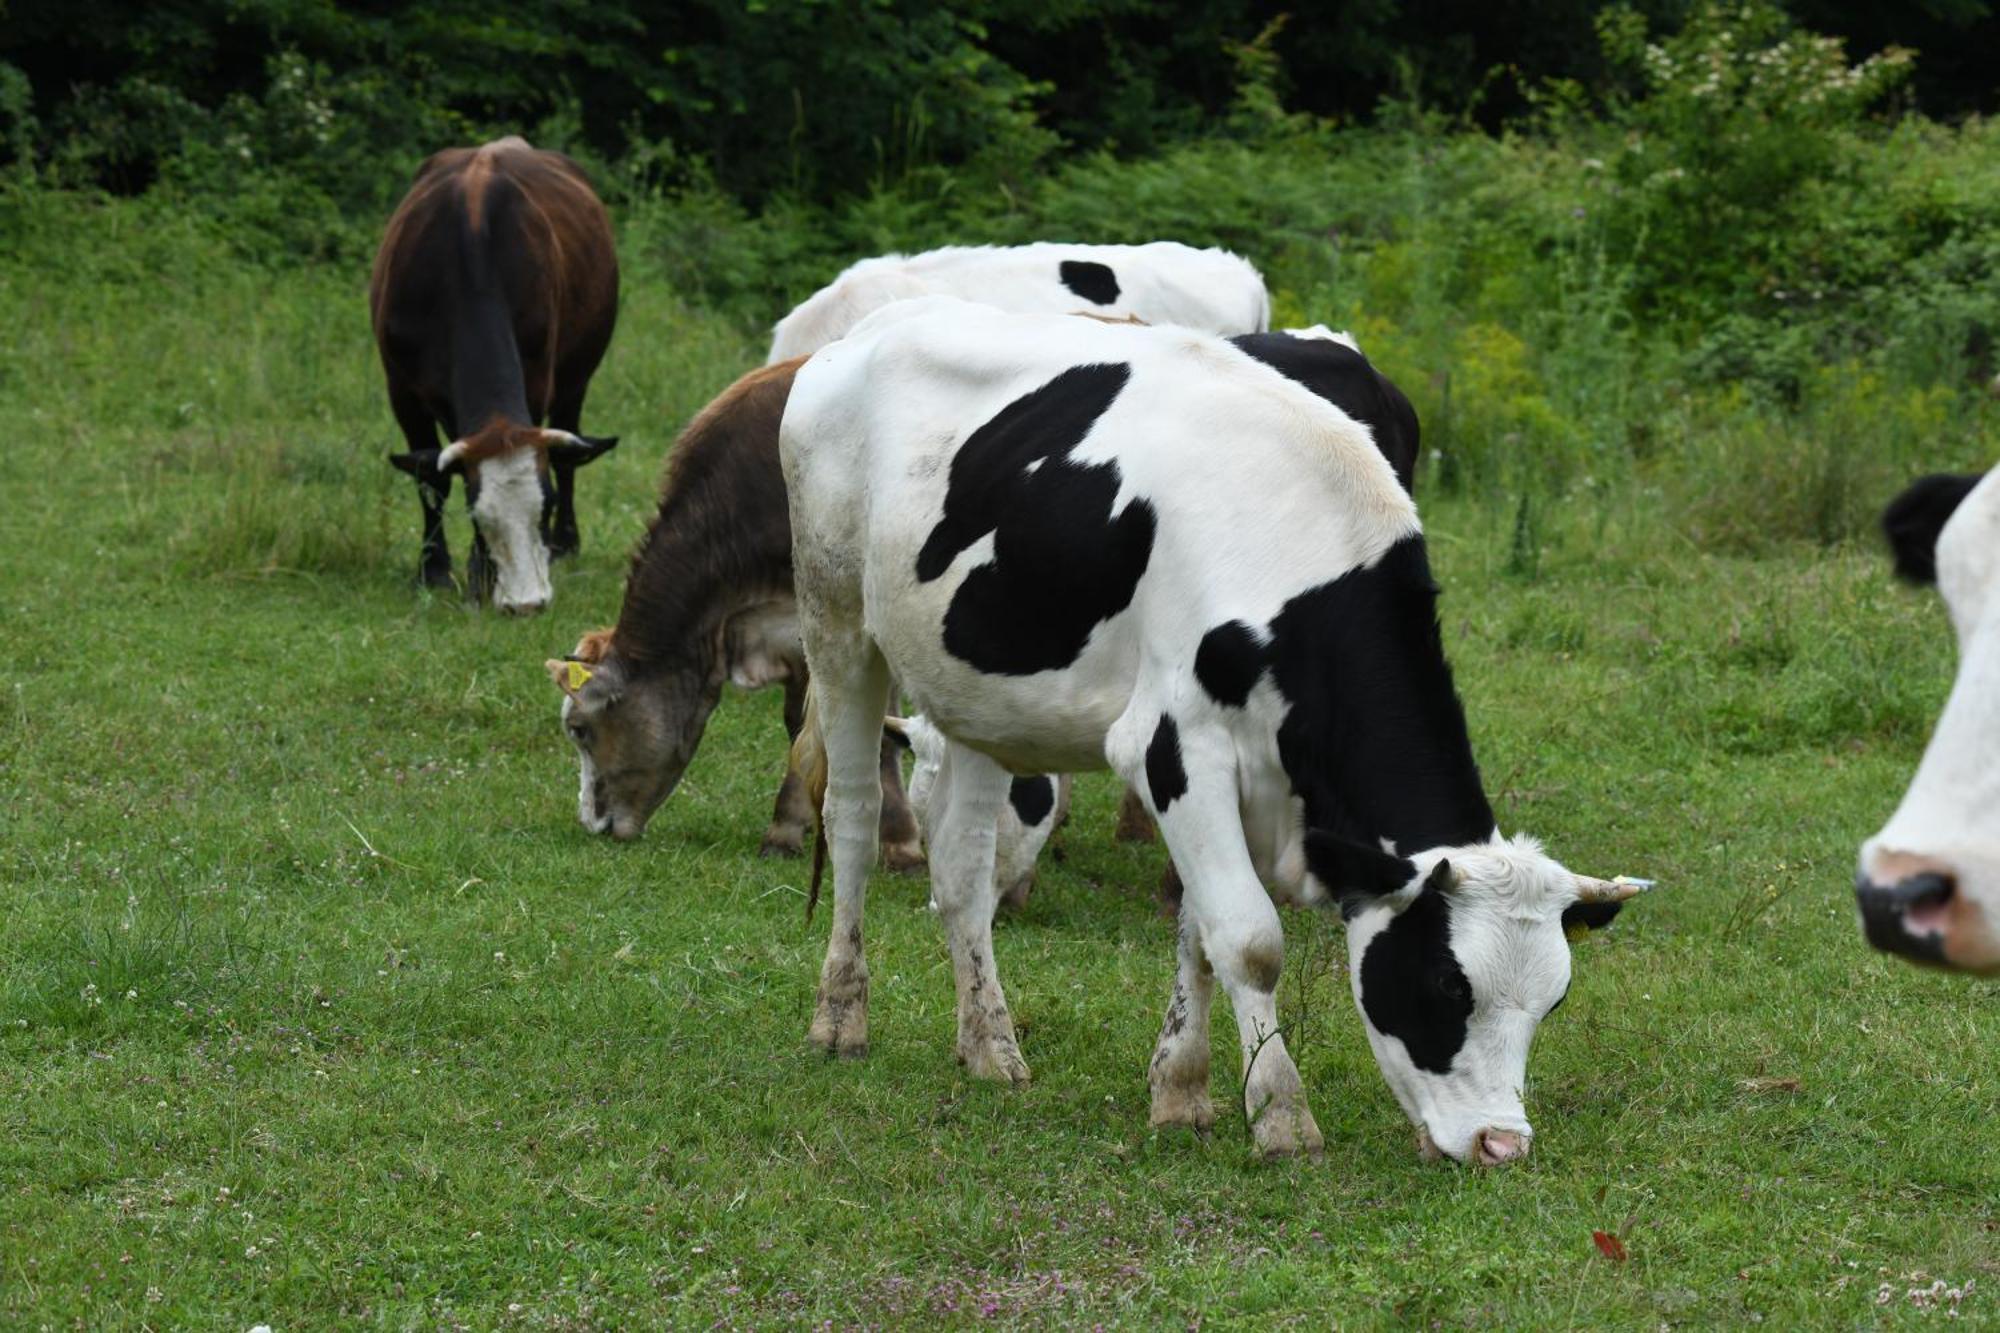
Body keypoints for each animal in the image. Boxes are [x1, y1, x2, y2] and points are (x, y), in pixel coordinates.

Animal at [372, 135, 620, 612]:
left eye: (545, 505)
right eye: (476, 509)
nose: (528, 602)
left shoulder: (539, 379)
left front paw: (481, 573)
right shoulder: (401, 390)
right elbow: (430, 477)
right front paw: (434, 570)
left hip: (578, 377)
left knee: (569, 455)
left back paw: (565, 544)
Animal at [544, 358, 924, 868]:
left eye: (580, 729)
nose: (594, 823)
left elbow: (876, 732)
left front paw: (900, 844)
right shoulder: (793, 633)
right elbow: (801, 726)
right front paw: (790, 827)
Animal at [776, 298, 1640, 1160]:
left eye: (1554, 1001)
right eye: (1445, 982)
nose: (1503, 1144)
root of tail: (877, 323)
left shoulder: (1247, 773)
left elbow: (1200, 928)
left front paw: (1182, 1088)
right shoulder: (1174, 744)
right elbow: (1250, 937)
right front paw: (1282, 1113)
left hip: (979, 691)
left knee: (962, 863)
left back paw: (989, 1043)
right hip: (835, 619)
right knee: (851, 814)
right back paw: (840, 1013)